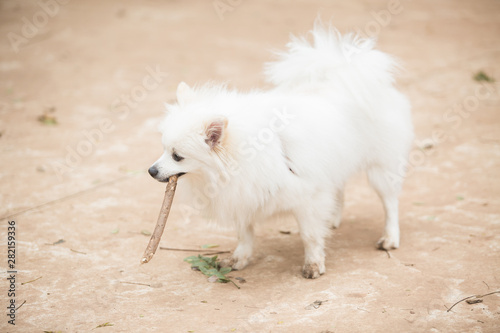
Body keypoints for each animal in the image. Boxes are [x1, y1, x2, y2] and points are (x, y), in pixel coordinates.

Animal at [148, 22, 414, 278]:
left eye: (178, 156)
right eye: (163, 149)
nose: (151, 171)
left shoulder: (307, 196)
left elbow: (309, 235)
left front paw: (314, 263)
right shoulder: (243, 196)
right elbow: (244, 234)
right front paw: (239, 258)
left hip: (382, 169)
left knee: (390, 203)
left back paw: (390, 237)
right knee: (339, 188)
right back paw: (332, 219)